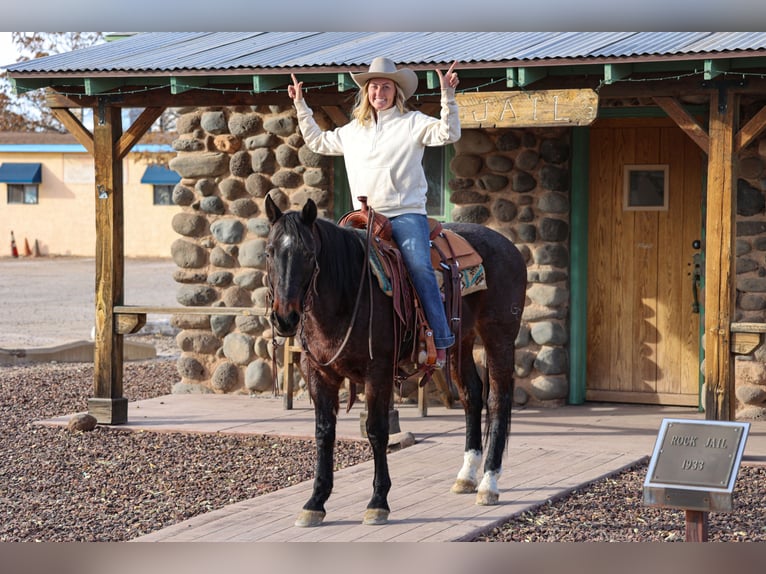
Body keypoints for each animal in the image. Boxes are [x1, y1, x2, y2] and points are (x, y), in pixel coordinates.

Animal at [266, 196, 528, 528]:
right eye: (269, 251)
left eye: (309, 254)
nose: (285, 318)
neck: (347, 293)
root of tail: (510, 247)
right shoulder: (320, 373)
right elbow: (324, 433)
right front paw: (315, 502)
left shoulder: (378, 372)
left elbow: (377, 431)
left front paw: (378, 502)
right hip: (461, 339)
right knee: (471, 394)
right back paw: (467, 475)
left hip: (499, 335)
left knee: (497, 400)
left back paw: (489, 484)